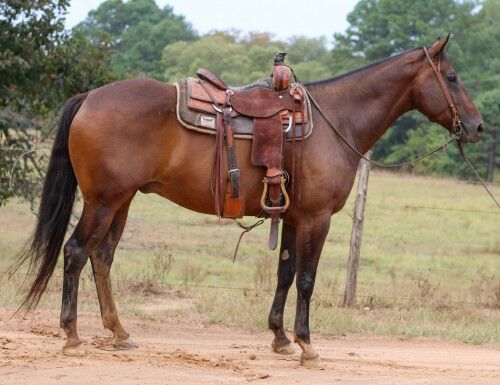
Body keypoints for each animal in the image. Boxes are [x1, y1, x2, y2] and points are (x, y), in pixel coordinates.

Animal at [19, 35, 484, 364]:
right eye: (453, 78)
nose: (478, 127)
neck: (337, 121)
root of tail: (90, 97)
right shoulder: (316, 218)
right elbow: (307, 279)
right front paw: (307, 344)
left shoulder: (293, 218)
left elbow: (285, 274)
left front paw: (280, 337)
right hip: (103, 199)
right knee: (76, 252)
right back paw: (72, 335)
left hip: (122, 200)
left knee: (102, 257)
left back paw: (118, 332)